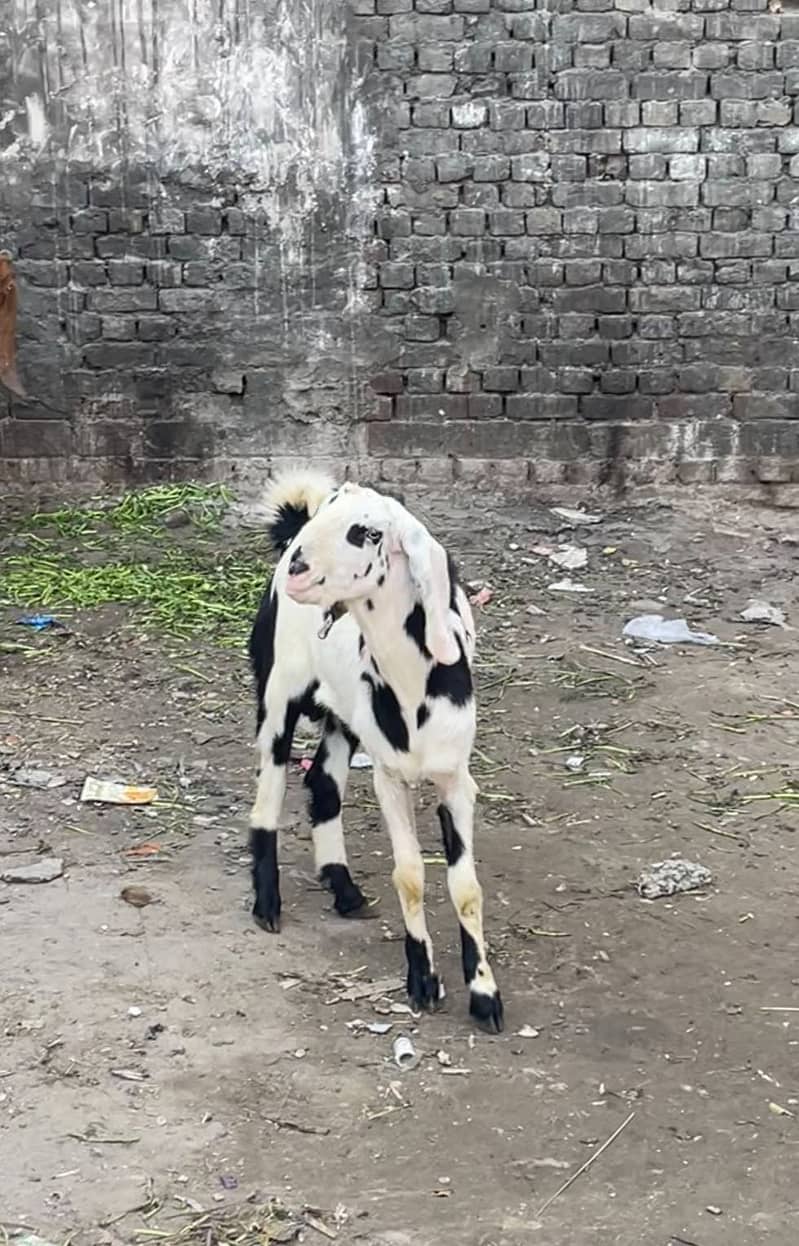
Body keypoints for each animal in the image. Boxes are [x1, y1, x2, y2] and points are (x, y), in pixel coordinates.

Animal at [247, 472, 504, 1032]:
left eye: (367, 533)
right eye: (331, 515)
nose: (299, 568)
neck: (413, 687)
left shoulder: (456, 779)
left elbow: (466, 886)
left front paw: (484, 992)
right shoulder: (390, 776)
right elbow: (409, 876)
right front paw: (423, 980)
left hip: (343, 716)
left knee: (322, 783)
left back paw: (343, 889)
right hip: (279, 691)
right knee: (268, 793)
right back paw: (267, 903)